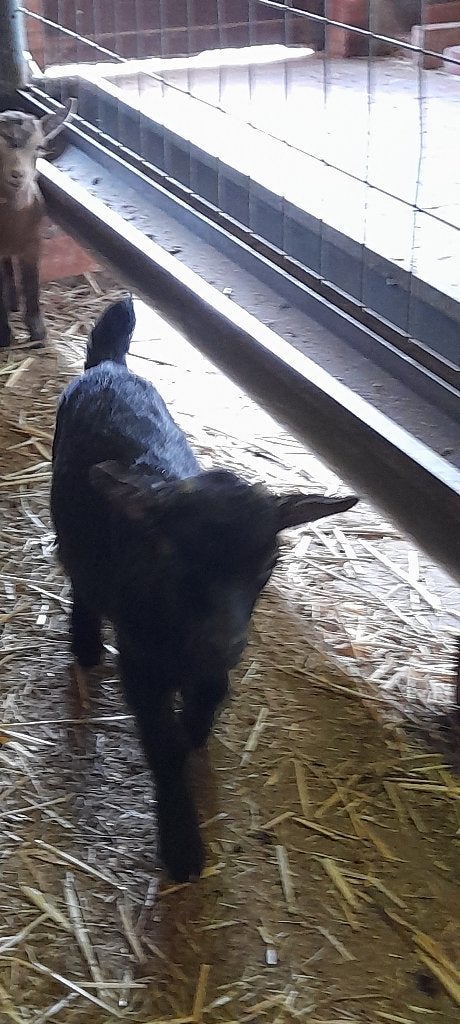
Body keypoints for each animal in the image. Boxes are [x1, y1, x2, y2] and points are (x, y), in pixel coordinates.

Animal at [0, 99, 75, 349]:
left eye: (38, 147)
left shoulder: (33, 242)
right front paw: (4, 335)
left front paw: (38, 333)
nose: (18, 175)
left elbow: (32, 283)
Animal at [50, 297, 359, 882]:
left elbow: (207, 700)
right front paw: (182, 847)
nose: (224, 642)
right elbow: (163, 745)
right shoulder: (142, 665)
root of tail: (110, 366)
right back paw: (85, 643)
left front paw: (196, 728)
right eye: (174, 560)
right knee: (80, 571)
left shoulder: (214, 659)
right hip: (69, 514)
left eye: (268, 564)